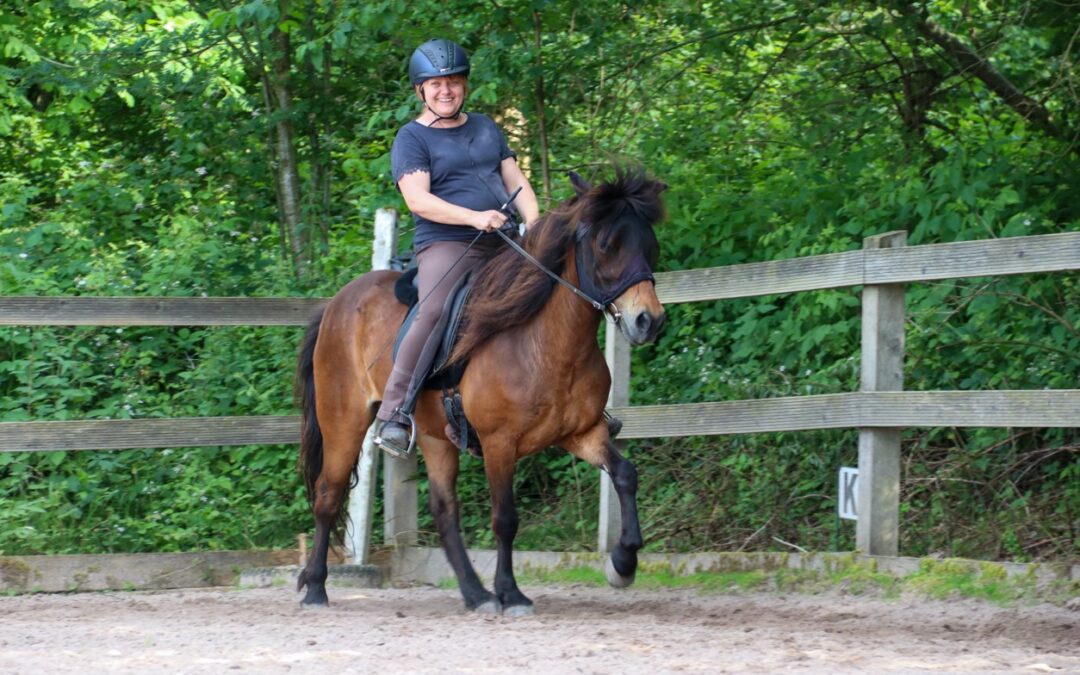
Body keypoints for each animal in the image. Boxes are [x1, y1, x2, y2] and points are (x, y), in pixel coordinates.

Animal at [298, 166, 665, 613]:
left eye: (650, 244)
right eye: (606, 244)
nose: (649, 321)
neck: (546, 342)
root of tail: (336, 303)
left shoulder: (582, 433)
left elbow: (625, 475)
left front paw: (623, 562)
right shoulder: (499, 443)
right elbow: (505, 518)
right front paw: (512, 592)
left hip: (435, 436)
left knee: (444, 511)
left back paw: (475, 594)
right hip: (344, 422)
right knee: (328, 495)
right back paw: (316, 589)